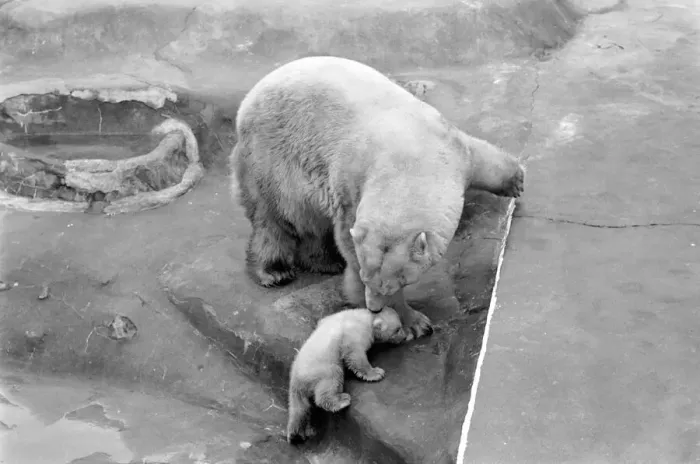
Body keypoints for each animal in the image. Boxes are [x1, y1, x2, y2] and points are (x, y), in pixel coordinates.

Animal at [230, 56, 524, 340]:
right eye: (368, 279)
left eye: (390, 284)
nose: (373, 307)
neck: (410, 159)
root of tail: (247, 101)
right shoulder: (350, 186)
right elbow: (347, 238)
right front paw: (414, 323)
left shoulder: (447, 143)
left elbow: (480, 157)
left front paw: (517, 181)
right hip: (272, 156)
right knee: (275, 217)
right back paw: (274, 271)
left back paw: (326, 262)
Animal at [286, 307, 406, 444]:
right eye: (397, 329)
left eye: (401, 326)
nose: (404, 337)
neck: (366, 317)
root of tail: (297, 380)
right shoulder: (355, 333)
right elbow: (355, 354)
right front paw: (376, 373)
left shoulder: (330, 317)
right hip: (322, 368)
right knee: (332, 378)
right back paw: (341, 400)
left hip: (297, 387)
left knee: (299, 408)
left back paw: (295, 434)